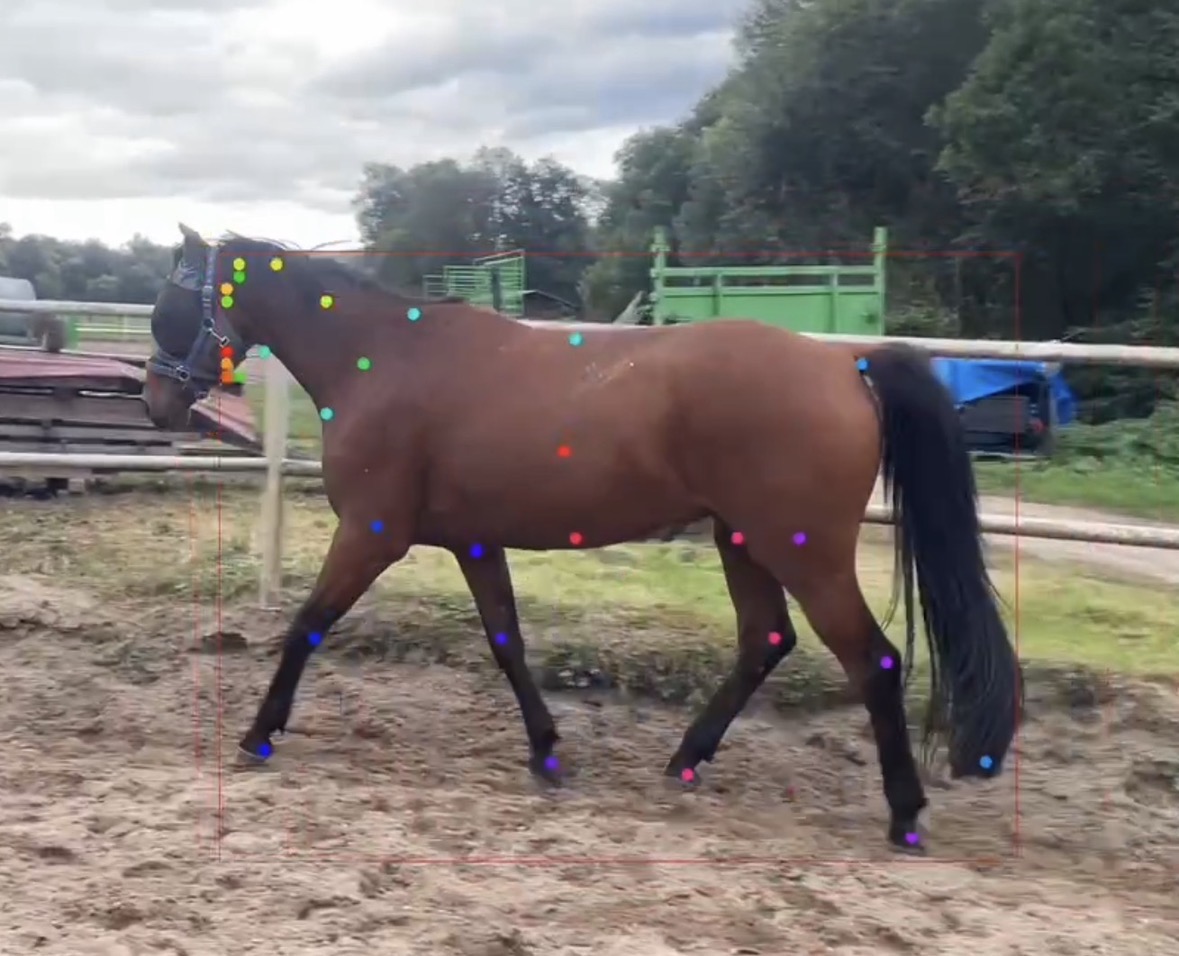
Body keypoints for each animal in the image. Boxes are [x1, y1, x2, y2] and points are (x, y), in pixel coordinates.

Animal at [143, 224, 1022, 853]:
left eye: (172, 307)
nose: (157, 402)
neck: (380, 360)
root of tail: (845, 367)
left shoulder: (371, 534)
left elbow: (307, 624)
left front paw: (258, 733)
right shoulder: (472, 543)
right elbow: (507, 643)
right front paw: (547, 753)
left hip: (802, 550)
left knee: (873, 660)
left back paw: (903, 814)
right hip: (742, 541)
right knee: (765, 641)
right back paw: (685, 760)